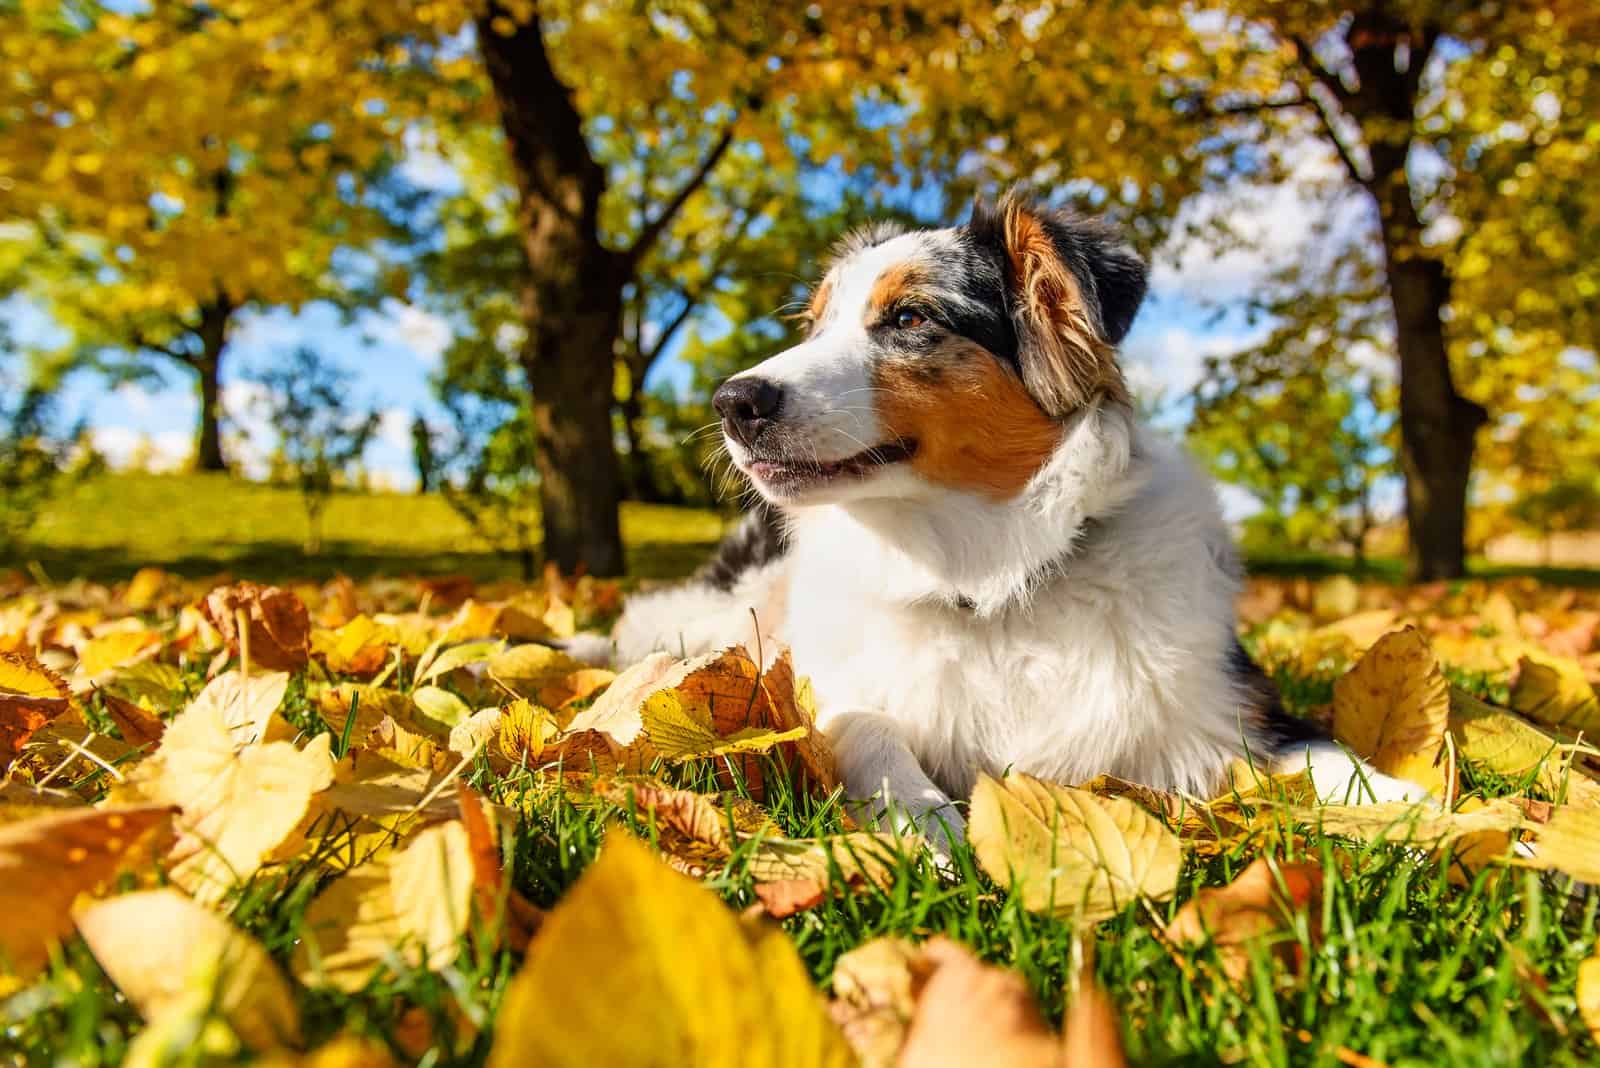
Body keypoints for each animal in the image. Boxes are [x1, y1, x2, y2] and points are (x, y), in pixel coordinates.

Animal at [604, 187, 1420, 844]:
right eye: (813, 327)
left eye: (908, 316)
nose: (731, 403)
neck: (986, 576)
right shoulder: (818, 687)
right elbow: (864, 728)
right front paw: (922, 829)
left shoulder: (1236, 705)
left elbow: (1338, 762)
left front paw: (1424, 817)